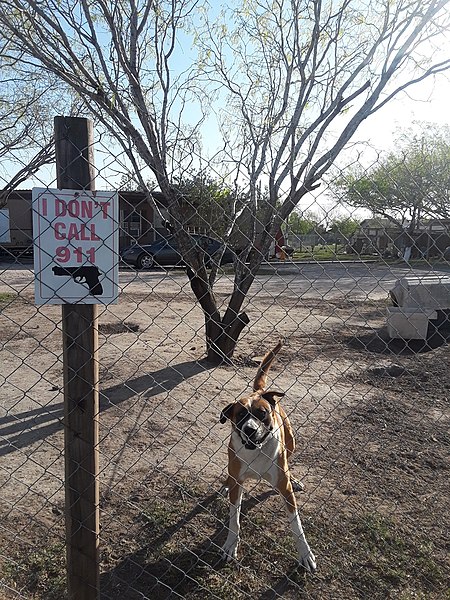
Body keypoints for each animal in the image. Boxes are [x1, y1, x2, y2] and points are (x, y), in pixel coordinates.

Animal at [220, 342, 314, 572]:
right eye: (240, 415)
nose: (249, 430)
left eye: (261, 413)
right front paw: (230, 545)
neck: (257, 450)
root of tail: (260, 391)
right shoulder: (238, 485)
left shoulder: (284, 489)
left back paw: (295, 479)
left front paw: (305, 554)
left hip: (291, 443)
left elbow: (296, 525)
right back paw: (226, 483)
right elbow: (234, 519)